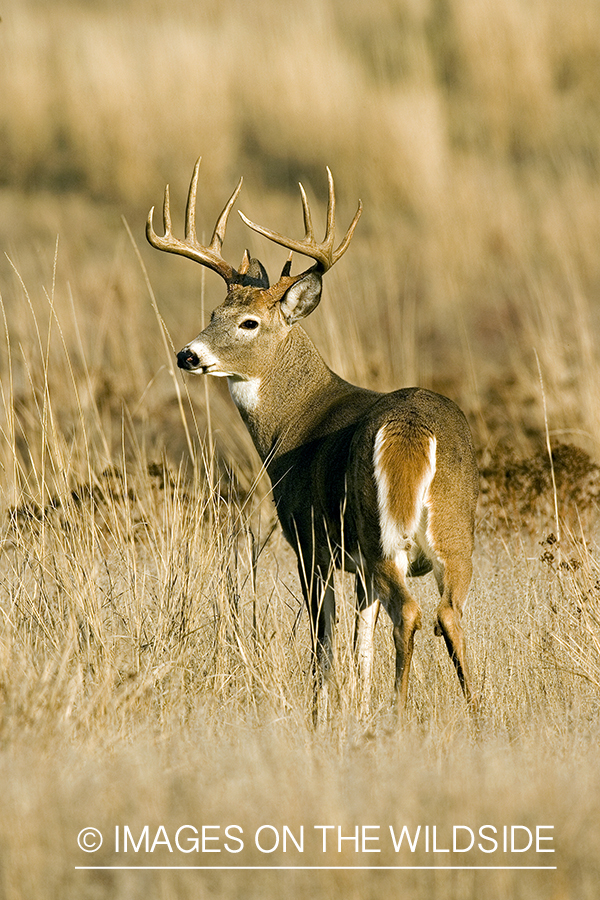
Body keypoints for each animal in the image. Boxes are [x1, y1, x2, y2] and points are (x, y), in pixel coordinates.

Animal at [149, 158, 478, 724]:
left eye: (249, 322)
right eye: (213, 314)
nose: (187, 355)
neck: (293, 422)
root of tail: (412, 430)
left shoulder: (309, 539)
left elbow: (323, 639)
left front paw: (321, 712)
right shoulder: (358, 565)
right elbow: (361, 638)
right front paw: (356, 706)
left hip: (378, 530)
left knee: (411, 611)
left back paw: (400, 714)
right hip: (455, 532)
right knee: (448, 614)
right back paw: (476, 713)